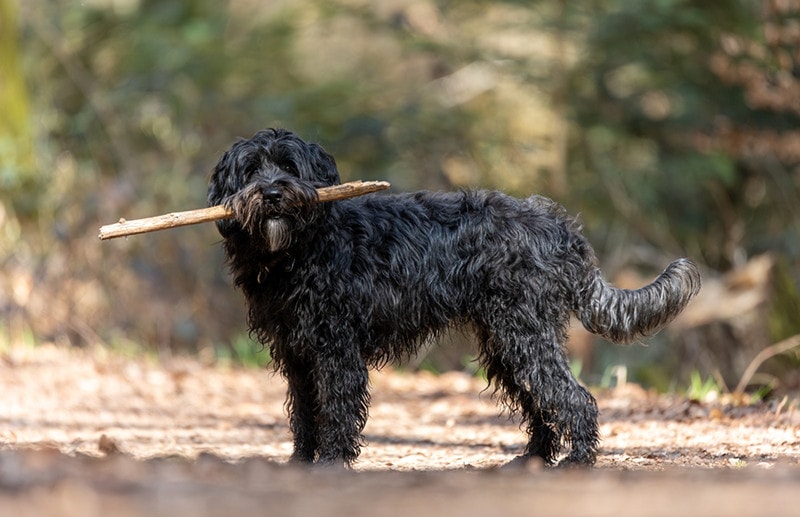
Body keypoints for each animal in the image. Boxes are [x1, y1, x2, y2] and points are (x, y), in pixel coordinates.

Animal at [208, 127, 700, 466]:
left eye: (290, 167)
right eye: (251, 170)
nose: (273, 193)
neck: (298, 250)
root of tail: (559, 229)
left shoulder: (336, 349)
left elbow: (337, 409)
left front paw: (330, 462)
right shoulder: (297, 352)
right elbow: (305, 413)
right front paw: (300, 462)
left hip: (524, 337)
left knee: (574, 398)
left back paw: (577, 461)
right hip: (507, 342)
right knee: (540, 403)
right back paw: (532, 460)